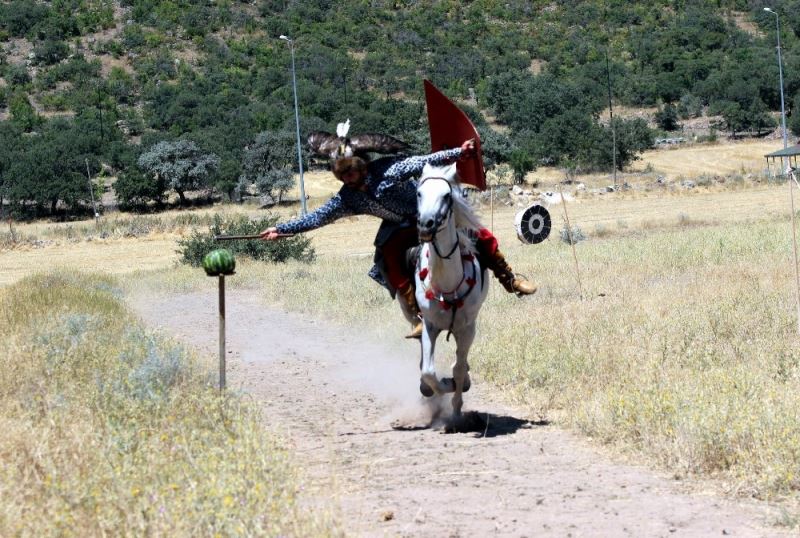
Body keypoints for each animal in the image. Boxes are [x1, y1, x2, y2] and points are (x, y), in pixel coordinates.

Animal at [412, 162, 489, 418]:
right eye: (419, 193)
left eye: (447, 195)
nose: (426, 224)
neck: (447, 282)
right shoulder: (429, 325)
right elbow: (428, 371)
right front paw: (439, 386)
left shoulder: (467, 329)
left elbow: (459, 368)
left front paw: (456, 408)